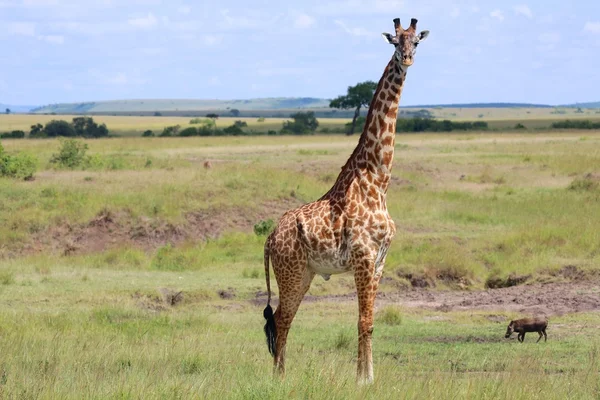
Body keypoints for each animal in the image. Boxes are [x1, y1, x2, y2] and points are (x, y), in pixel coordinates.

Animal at [264, 16, 428, 384]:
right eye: (395, 41)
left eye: (416, 42)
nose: (407, 59)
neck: (378, 180)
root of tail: (269, 238)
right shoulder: (364, 257)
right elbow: (364, 321)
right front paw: (362, 380)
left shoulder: (380, 261)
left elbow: (369, 322)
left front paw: (369, 376)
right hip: (291, 271)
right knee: (281, 319)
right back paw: (280, 378)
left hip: (305, 273)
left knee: (280, 318)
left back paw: (281, 374)